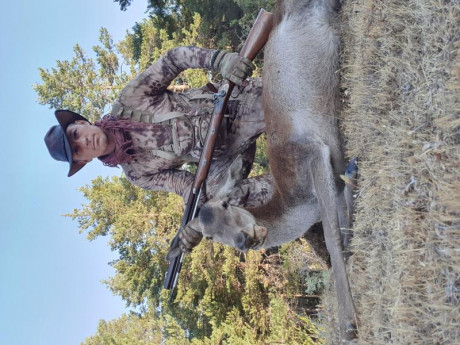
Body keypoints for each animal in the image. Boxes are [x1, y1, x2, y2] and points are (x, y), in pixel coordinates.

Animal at [170, 0, 360, 342]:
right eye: (209, 236)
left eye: (227, 203)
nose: (243, 239)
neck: (298, 204)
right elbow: (343, 223)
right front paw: (354, 171)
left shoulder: (312, 155)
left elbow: (332, 237)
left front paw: (350, 323)